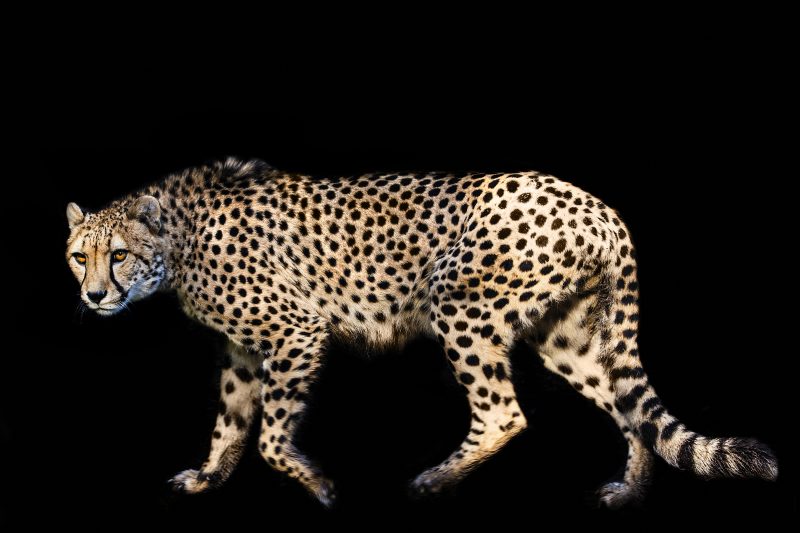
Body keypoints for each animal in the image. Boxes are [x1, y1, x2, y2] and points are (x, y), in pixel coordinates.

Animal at [65, 157, 777, 509]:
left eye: (118, 255)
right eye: (78, 256)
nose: (93, 296)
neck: (176, 241)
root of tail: (594, 203)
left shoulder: (296, 331)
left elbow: (267, 437)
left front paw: (318, 486)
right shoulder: (241, 351)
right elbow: (231, 426)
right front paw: (206, 481)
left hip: (460, 306)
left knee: (503, 413)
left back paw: (435, 481)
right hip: (565, 334)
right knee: (627, 406)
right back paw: (630, 492)